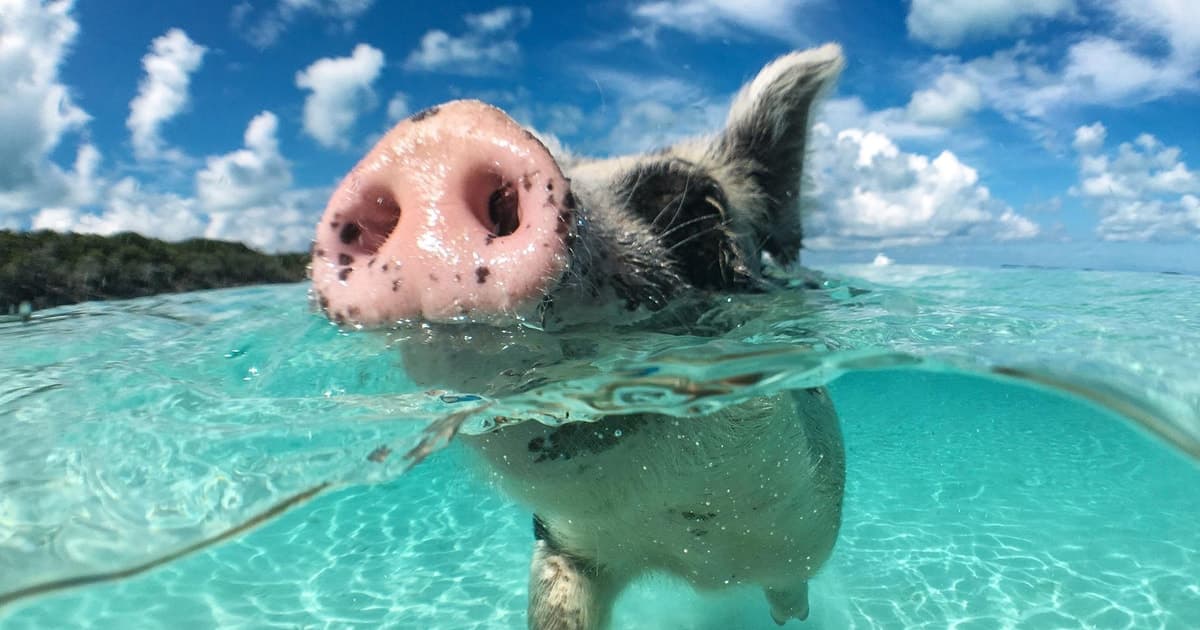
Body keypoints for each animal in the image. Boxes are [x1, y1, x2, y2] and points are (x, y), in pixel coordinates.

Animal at [311, 44, 847, 629]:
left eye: (694, 208)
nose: (436, 137)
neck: (689, 550)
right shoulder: (563, 546)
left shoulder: (803, 537)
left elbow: (791, 589)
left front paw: (792, 616)